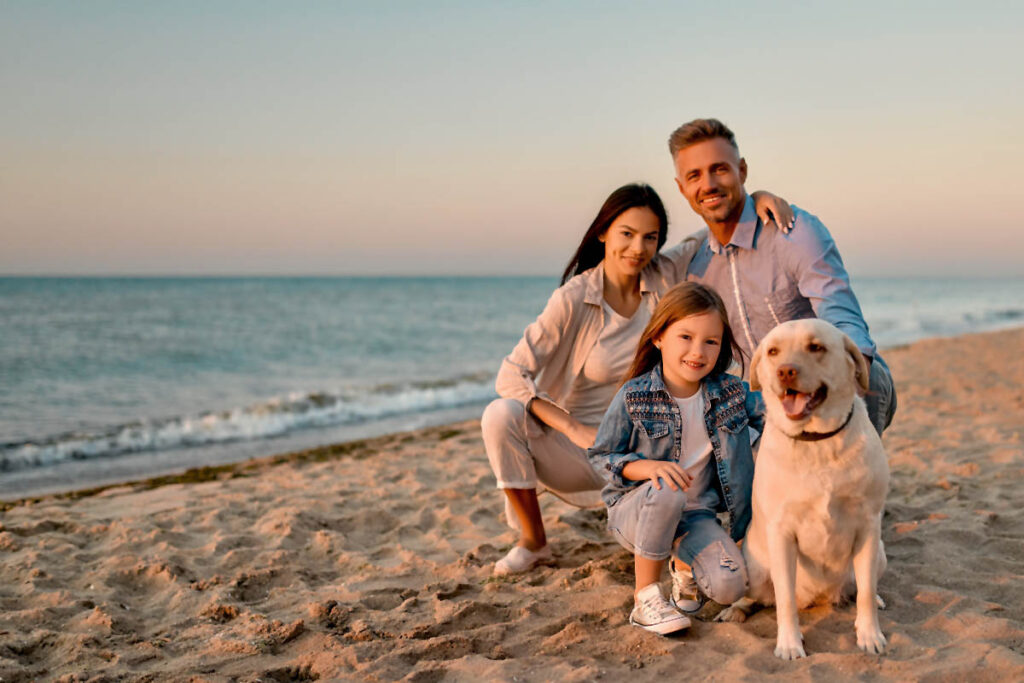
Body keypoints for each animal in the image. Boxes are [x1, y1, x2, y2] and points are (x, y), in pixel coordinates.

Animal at [716, 321, 892, 663]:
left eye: (816, 347)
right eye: (773, 351)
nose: (785, 371)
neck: (816, 441)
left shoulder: (868, 525)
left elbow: (865, 592)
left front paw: (870, 634)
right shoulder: (782, 533)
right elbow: (784, 598)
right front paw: (789, 644)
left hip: (879, 553)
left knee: (862, 587)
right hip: (753, 566)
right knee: (758, 596)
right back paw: (735, 609)